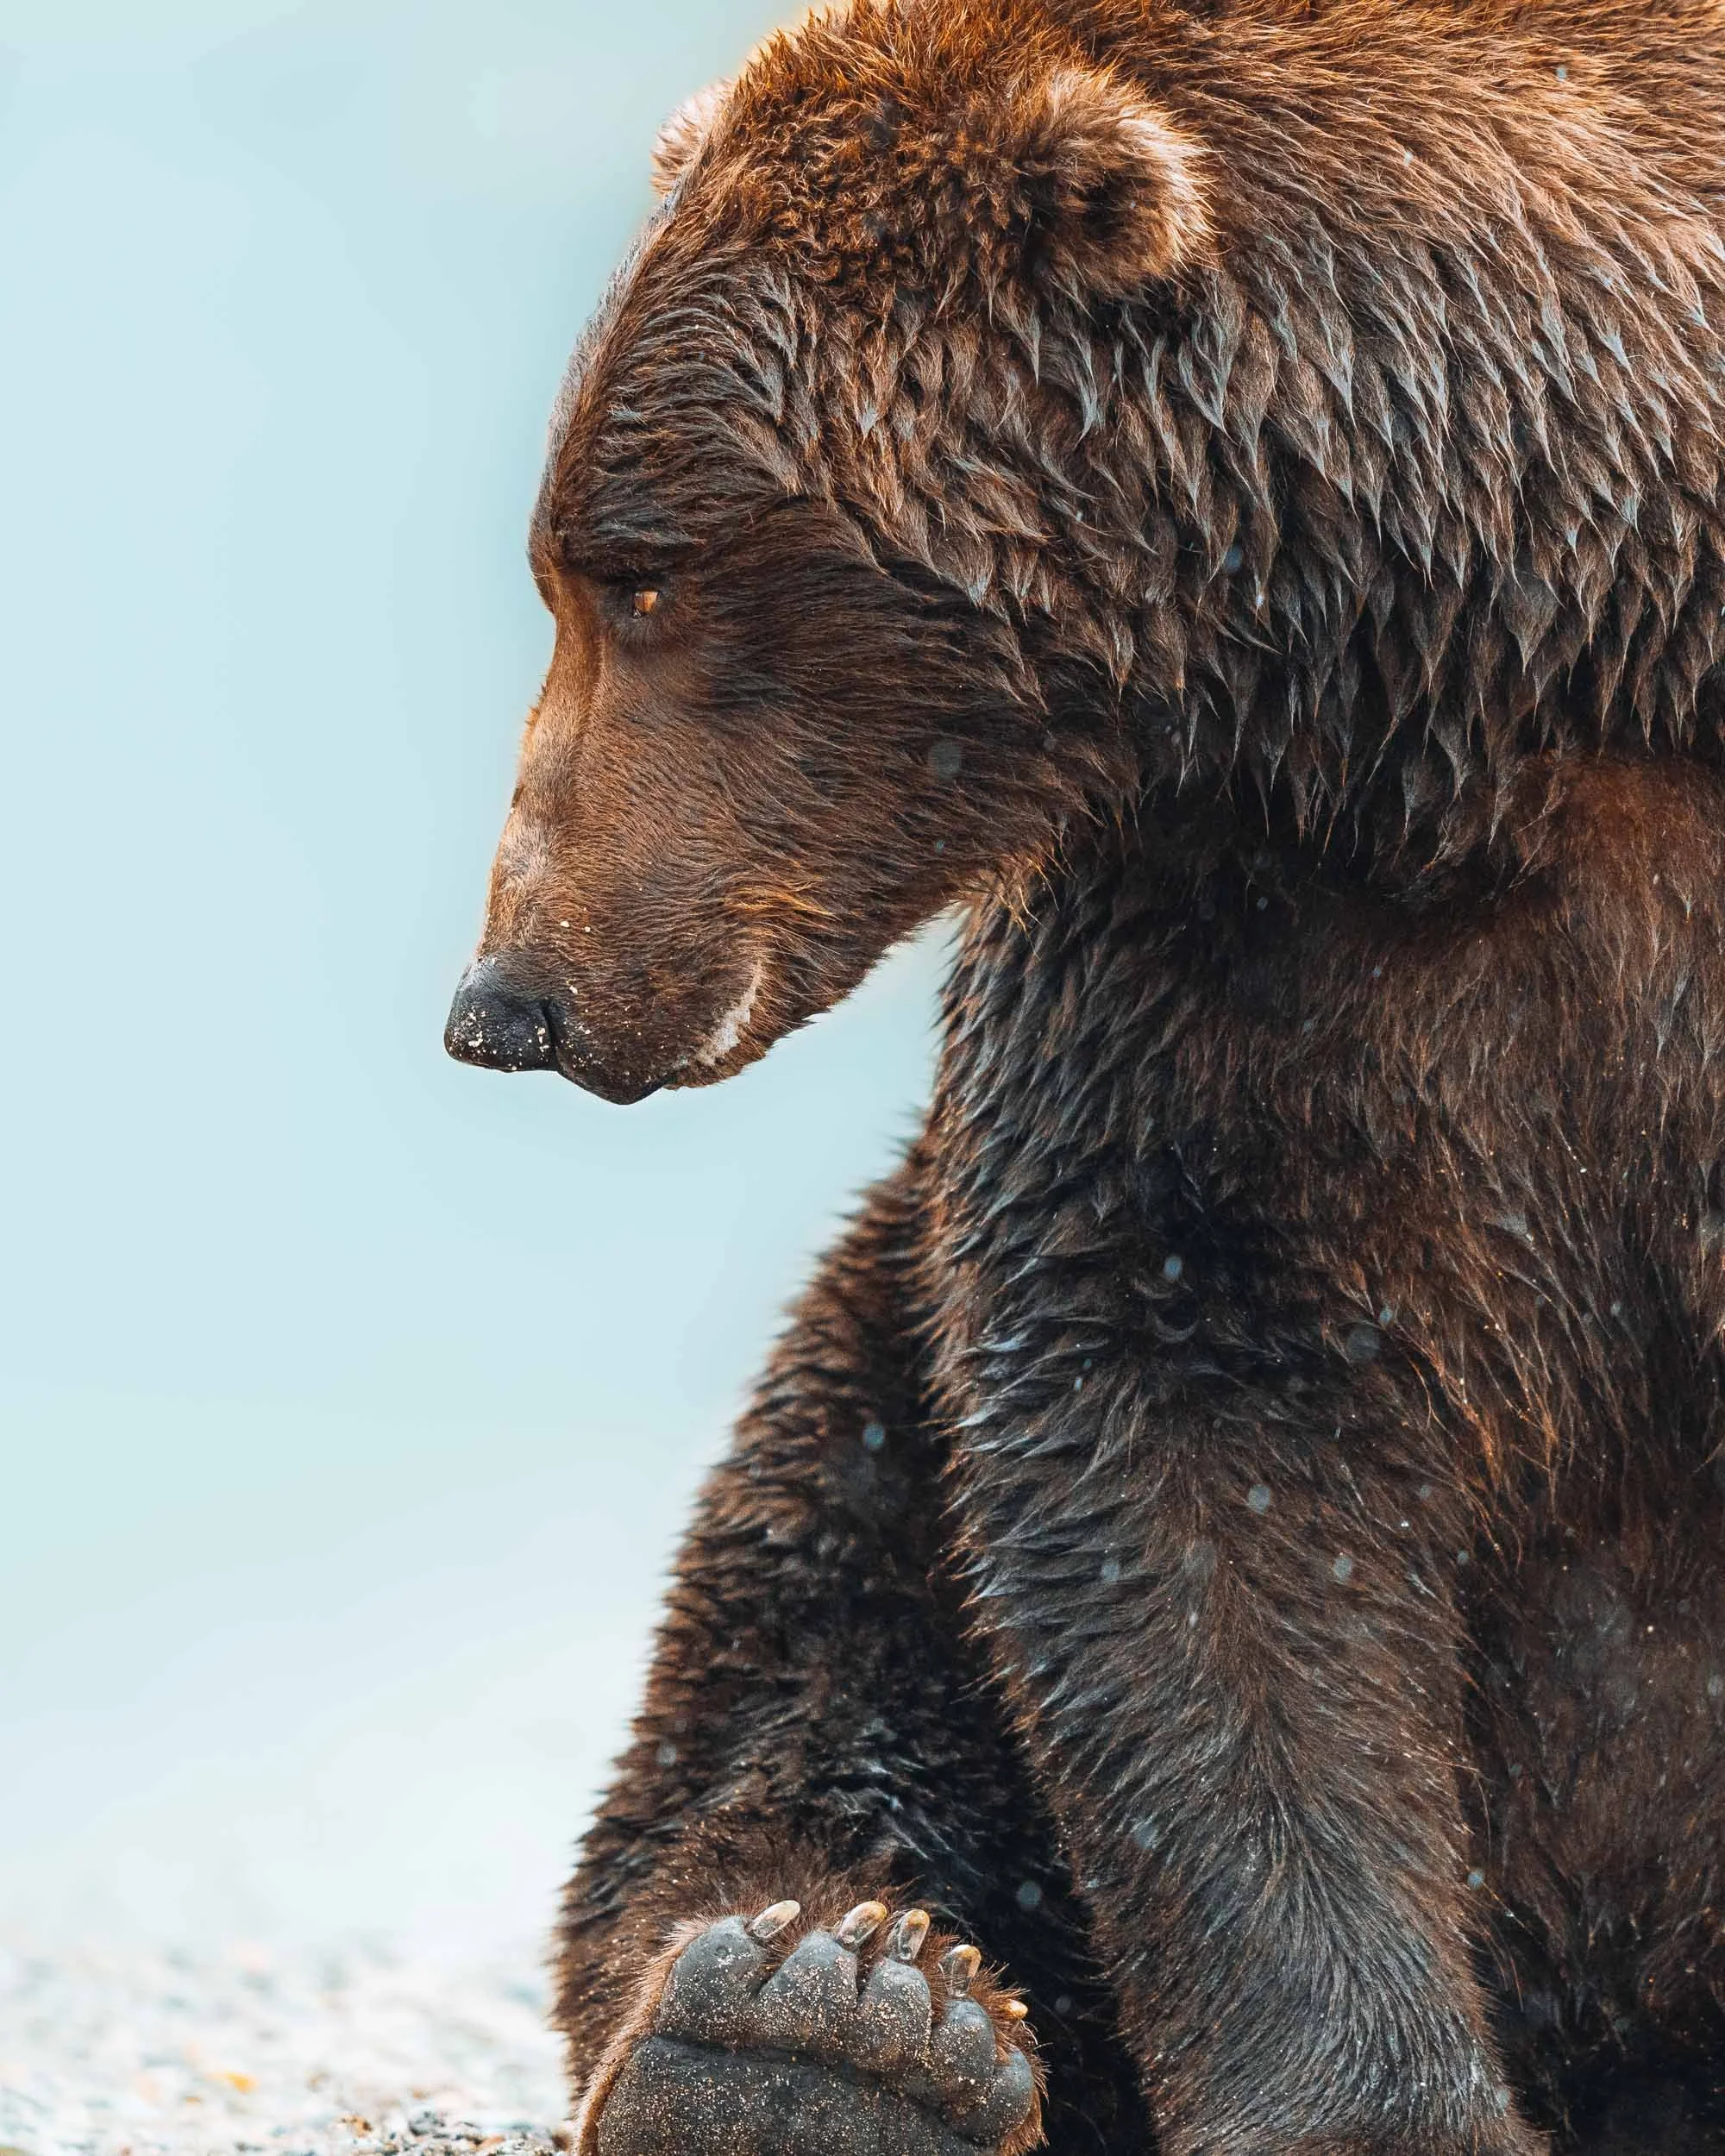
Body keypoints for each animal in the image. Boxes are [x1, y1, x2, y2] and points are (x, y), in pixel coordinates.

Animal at [442, 2, 1725, 2152]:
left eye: (647, 577)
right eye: (572, 568)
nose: (508, 996)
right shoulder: (1225, 969)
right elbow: (1183, 1444)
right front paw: (1371, 2099)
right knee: (815, 1616)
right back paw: (822, 2013)